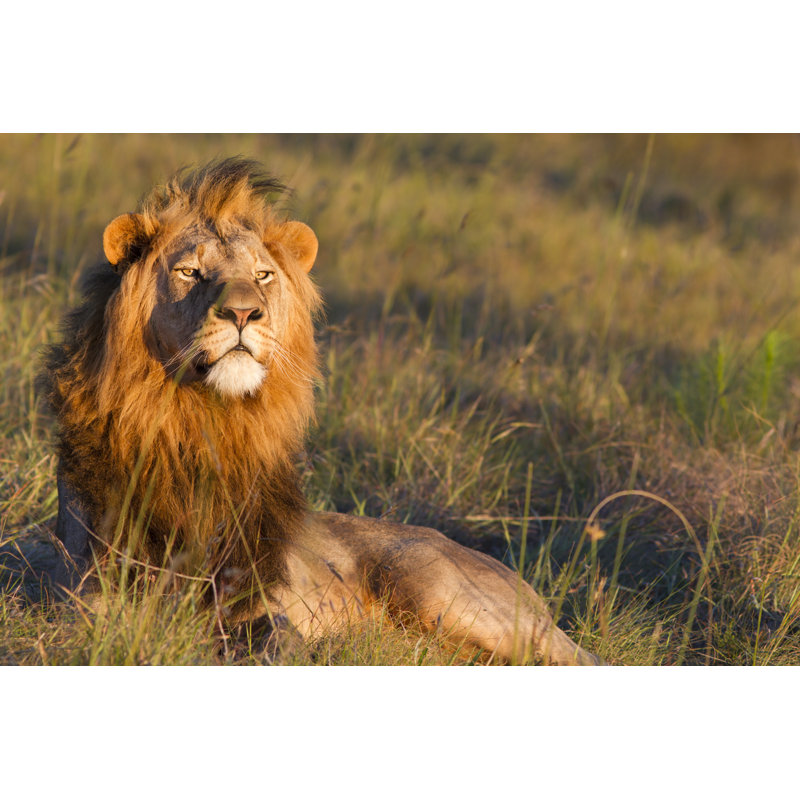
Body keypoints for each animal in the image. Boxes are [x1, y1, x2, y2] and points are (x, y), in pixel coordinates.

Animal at [40, 158, 599, 665]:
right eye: (190, 272)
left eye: (262, 275)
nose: (243, 312)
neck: (204, 423)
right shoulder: (90, 603)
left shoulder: (256, 597)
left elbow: (274, 640)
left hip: (442, 593)